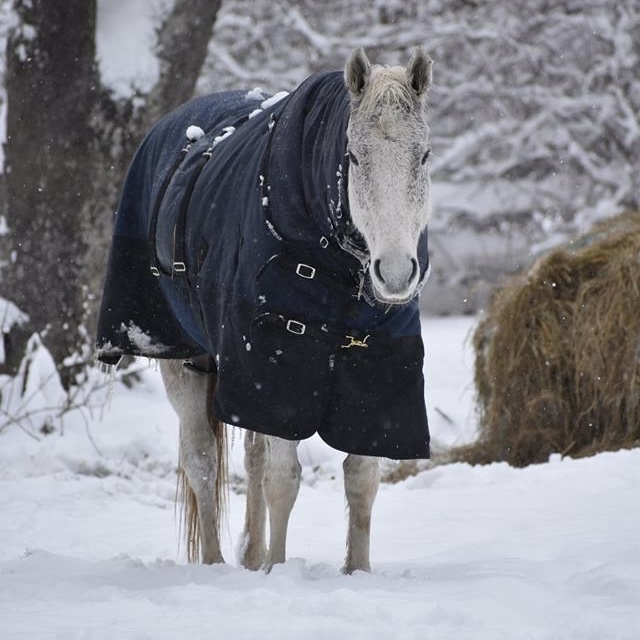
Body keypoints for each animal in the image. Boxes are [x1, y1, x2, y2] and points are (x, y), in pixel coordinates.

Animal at [96, 47, 436, 572]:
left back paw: (250, 557)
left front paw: (356, 571)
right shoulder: (279, 371)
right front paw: (279, 568)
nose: (397, 274)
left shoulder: (375, 371)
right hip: (186, 361)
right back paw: (216, 563)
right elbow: (283, 480)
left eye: (423, 155)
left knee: (249, 459)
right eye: (354, 157)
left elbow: (361, 479)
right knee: (201, 461)